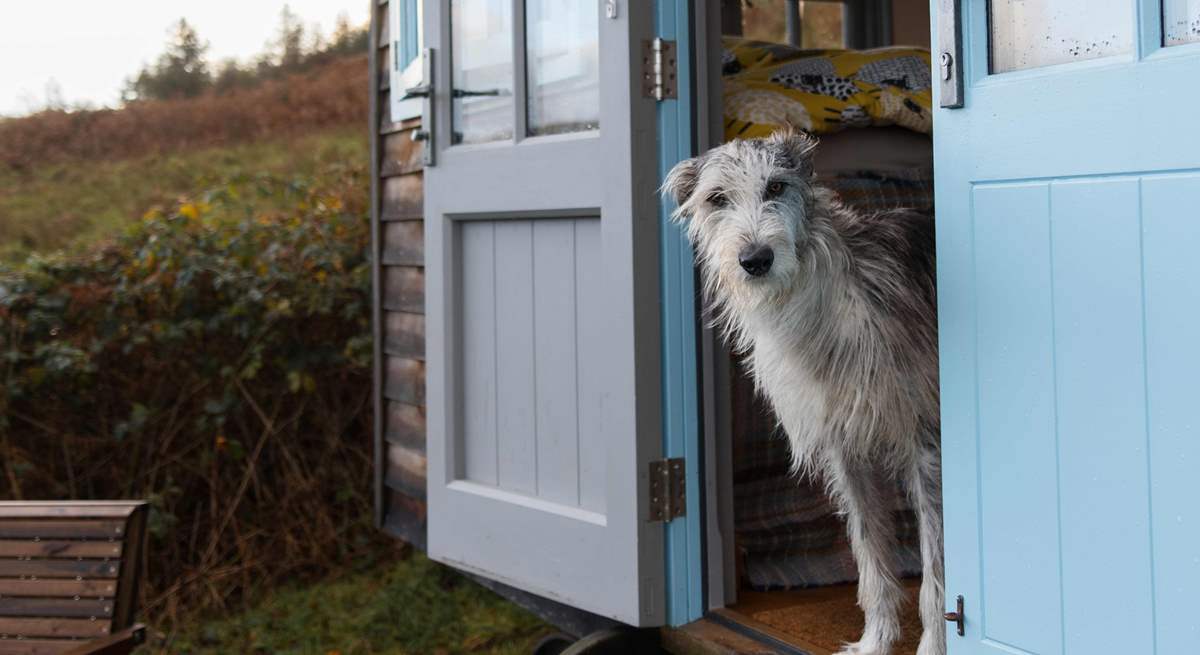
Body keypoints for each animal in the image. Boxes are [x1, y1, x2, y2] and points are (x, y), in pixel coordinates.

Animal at [662, 130, 940, 647]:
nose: (755, 261)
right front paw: (875, 643)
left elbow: (939, 573)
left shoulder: (926, 441)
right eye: (716, 199)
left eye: (776, 187)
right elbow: (870, 555)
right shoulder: (845, 447)